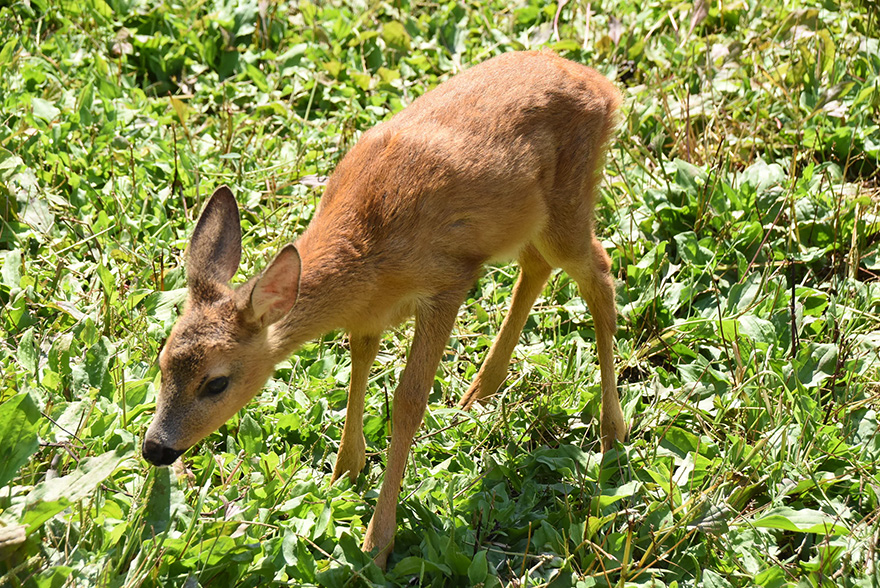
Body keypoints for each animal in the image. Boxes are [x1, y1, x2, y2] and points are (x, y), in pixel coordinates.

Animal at [143, 51, 624, 568]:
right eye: (161, 362)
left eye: (216, 382)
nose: (155, 449)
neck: (366, 251)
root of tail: (604, 88)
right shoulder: (368, 315)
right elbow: (359, 368)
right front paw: (343, 473)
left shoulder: (448, 281)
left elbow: (409, 400)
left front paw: (377, 543)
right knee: (537, 265)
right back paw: (480, 391)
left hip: (568, 203)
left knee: (600, 272)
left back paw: (613, 433)